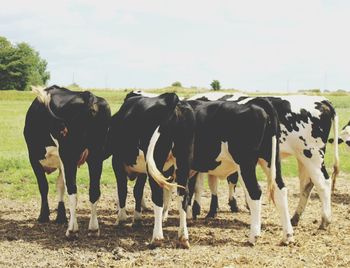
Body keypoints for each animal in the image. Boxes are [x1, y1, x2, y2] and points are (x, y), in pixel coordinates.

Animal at [23, 85, 110, 238]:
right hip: (96, 156)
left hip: (68, 155)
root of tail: (89, 96)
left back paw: (72, 230)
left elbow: (44, 186)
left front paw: (43, 216)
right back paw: (93, 229)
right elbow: (60, 186)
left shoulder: (34, 158)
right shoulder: (61, 163)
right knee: (94, 191)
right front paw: (61, 217)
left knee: (73, 190)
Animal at [105, 92, 196, 249]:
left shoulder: (117, 162)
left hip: (156, 162)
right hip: (183, 164)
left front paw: (121, 219)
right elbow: (138, 191)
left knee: (158, 197)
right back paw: (183, 237)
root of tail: (172, 98)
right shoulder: (143, 170)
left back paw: (157, 238)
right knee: (183, 196)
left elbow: (122, 190)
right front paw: (137, 219)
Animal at [189, 92, 340, 230]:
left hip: (312, 155)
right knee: (306, 185)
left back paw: (325, 220)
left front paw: (198, 210)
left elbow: (199, 185)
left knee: (323, 183)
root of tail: (322, 100)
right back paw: (295, 218)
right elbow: (215, 182)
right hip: (302, 158)